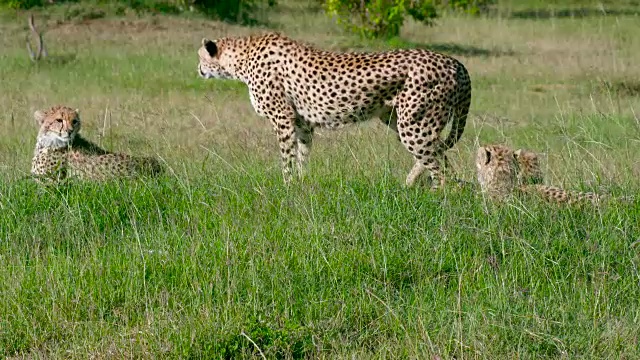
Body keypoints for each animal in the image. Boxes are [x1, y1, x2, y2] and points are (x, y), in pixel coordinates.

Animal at [198, 32, 472, 187]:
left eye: (200, 57)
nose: (198, 69)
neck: (240, 58)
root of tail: (455, 62)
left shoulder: (282, 118)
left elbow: (287, 158)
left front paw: (286, 187)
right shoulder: (302, 123)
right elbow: (303, 154)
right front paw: (301, 184)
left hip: (414, 125)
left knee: (440, 168)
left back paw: (437, 197)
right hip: (402, 121)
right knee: (440, 157)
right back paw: (412, 186)